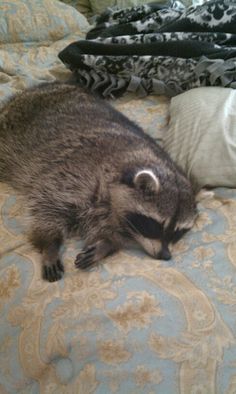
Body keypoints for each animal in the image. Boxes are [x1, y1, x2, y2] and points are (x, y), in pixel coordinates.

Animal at [0, 83, 196, 282]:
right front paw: (50, 243)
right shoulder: (73, 176)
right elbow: (46, 205)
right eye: (155, 225)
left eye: (178, 232)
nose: (166, 256)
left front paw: (107, 244)